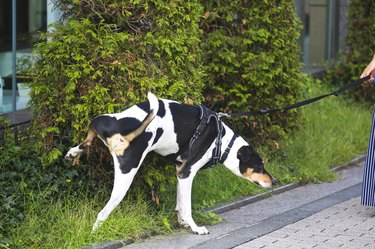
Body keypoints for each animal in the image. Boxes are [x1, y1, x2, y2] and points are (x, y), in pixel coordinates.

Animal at [65, 92, 276, 234]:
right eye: (260, 166)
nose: (274, 181)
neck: (221, 142)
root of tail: (119, 130)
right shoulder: (186, 173)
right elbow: (187, 207)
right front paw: (195, 228)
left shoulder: (179, 171)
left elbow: (180, 204)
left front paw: (182, 222)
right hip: (126, 176)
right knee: (103, 213)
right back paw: (95, 233)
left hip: (101, 121)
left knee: (88, 137)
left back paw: (72, 152)